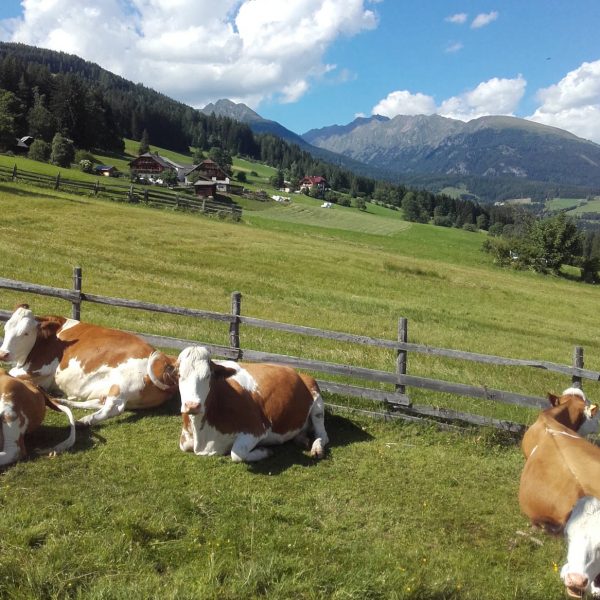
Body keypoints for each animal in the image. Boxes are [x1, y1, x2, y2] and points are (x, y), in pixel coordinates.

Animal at [0, 304, 178, 426]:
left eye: (25, 333)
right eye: (6, 327)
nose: (3, 353)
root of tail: (166, 362)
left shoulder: (39, 368)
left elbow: (12, 373)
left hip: (123, 384)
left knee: (113, 408)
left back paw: (84, 421)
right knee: (97, 402)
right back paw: (64, 402)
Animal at [176, 344, 330, 462]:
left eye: (209, 375)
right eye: (179, 375)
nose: (192, 405)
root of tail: (297, 372)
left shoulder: (258, 428)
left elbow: (237, 453)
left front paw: (265, 451)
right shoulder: (185, 440)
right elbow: (184, 446)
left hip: (317, 402)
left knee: (323, 435)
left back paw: (316, 448)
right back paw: (302, 440)